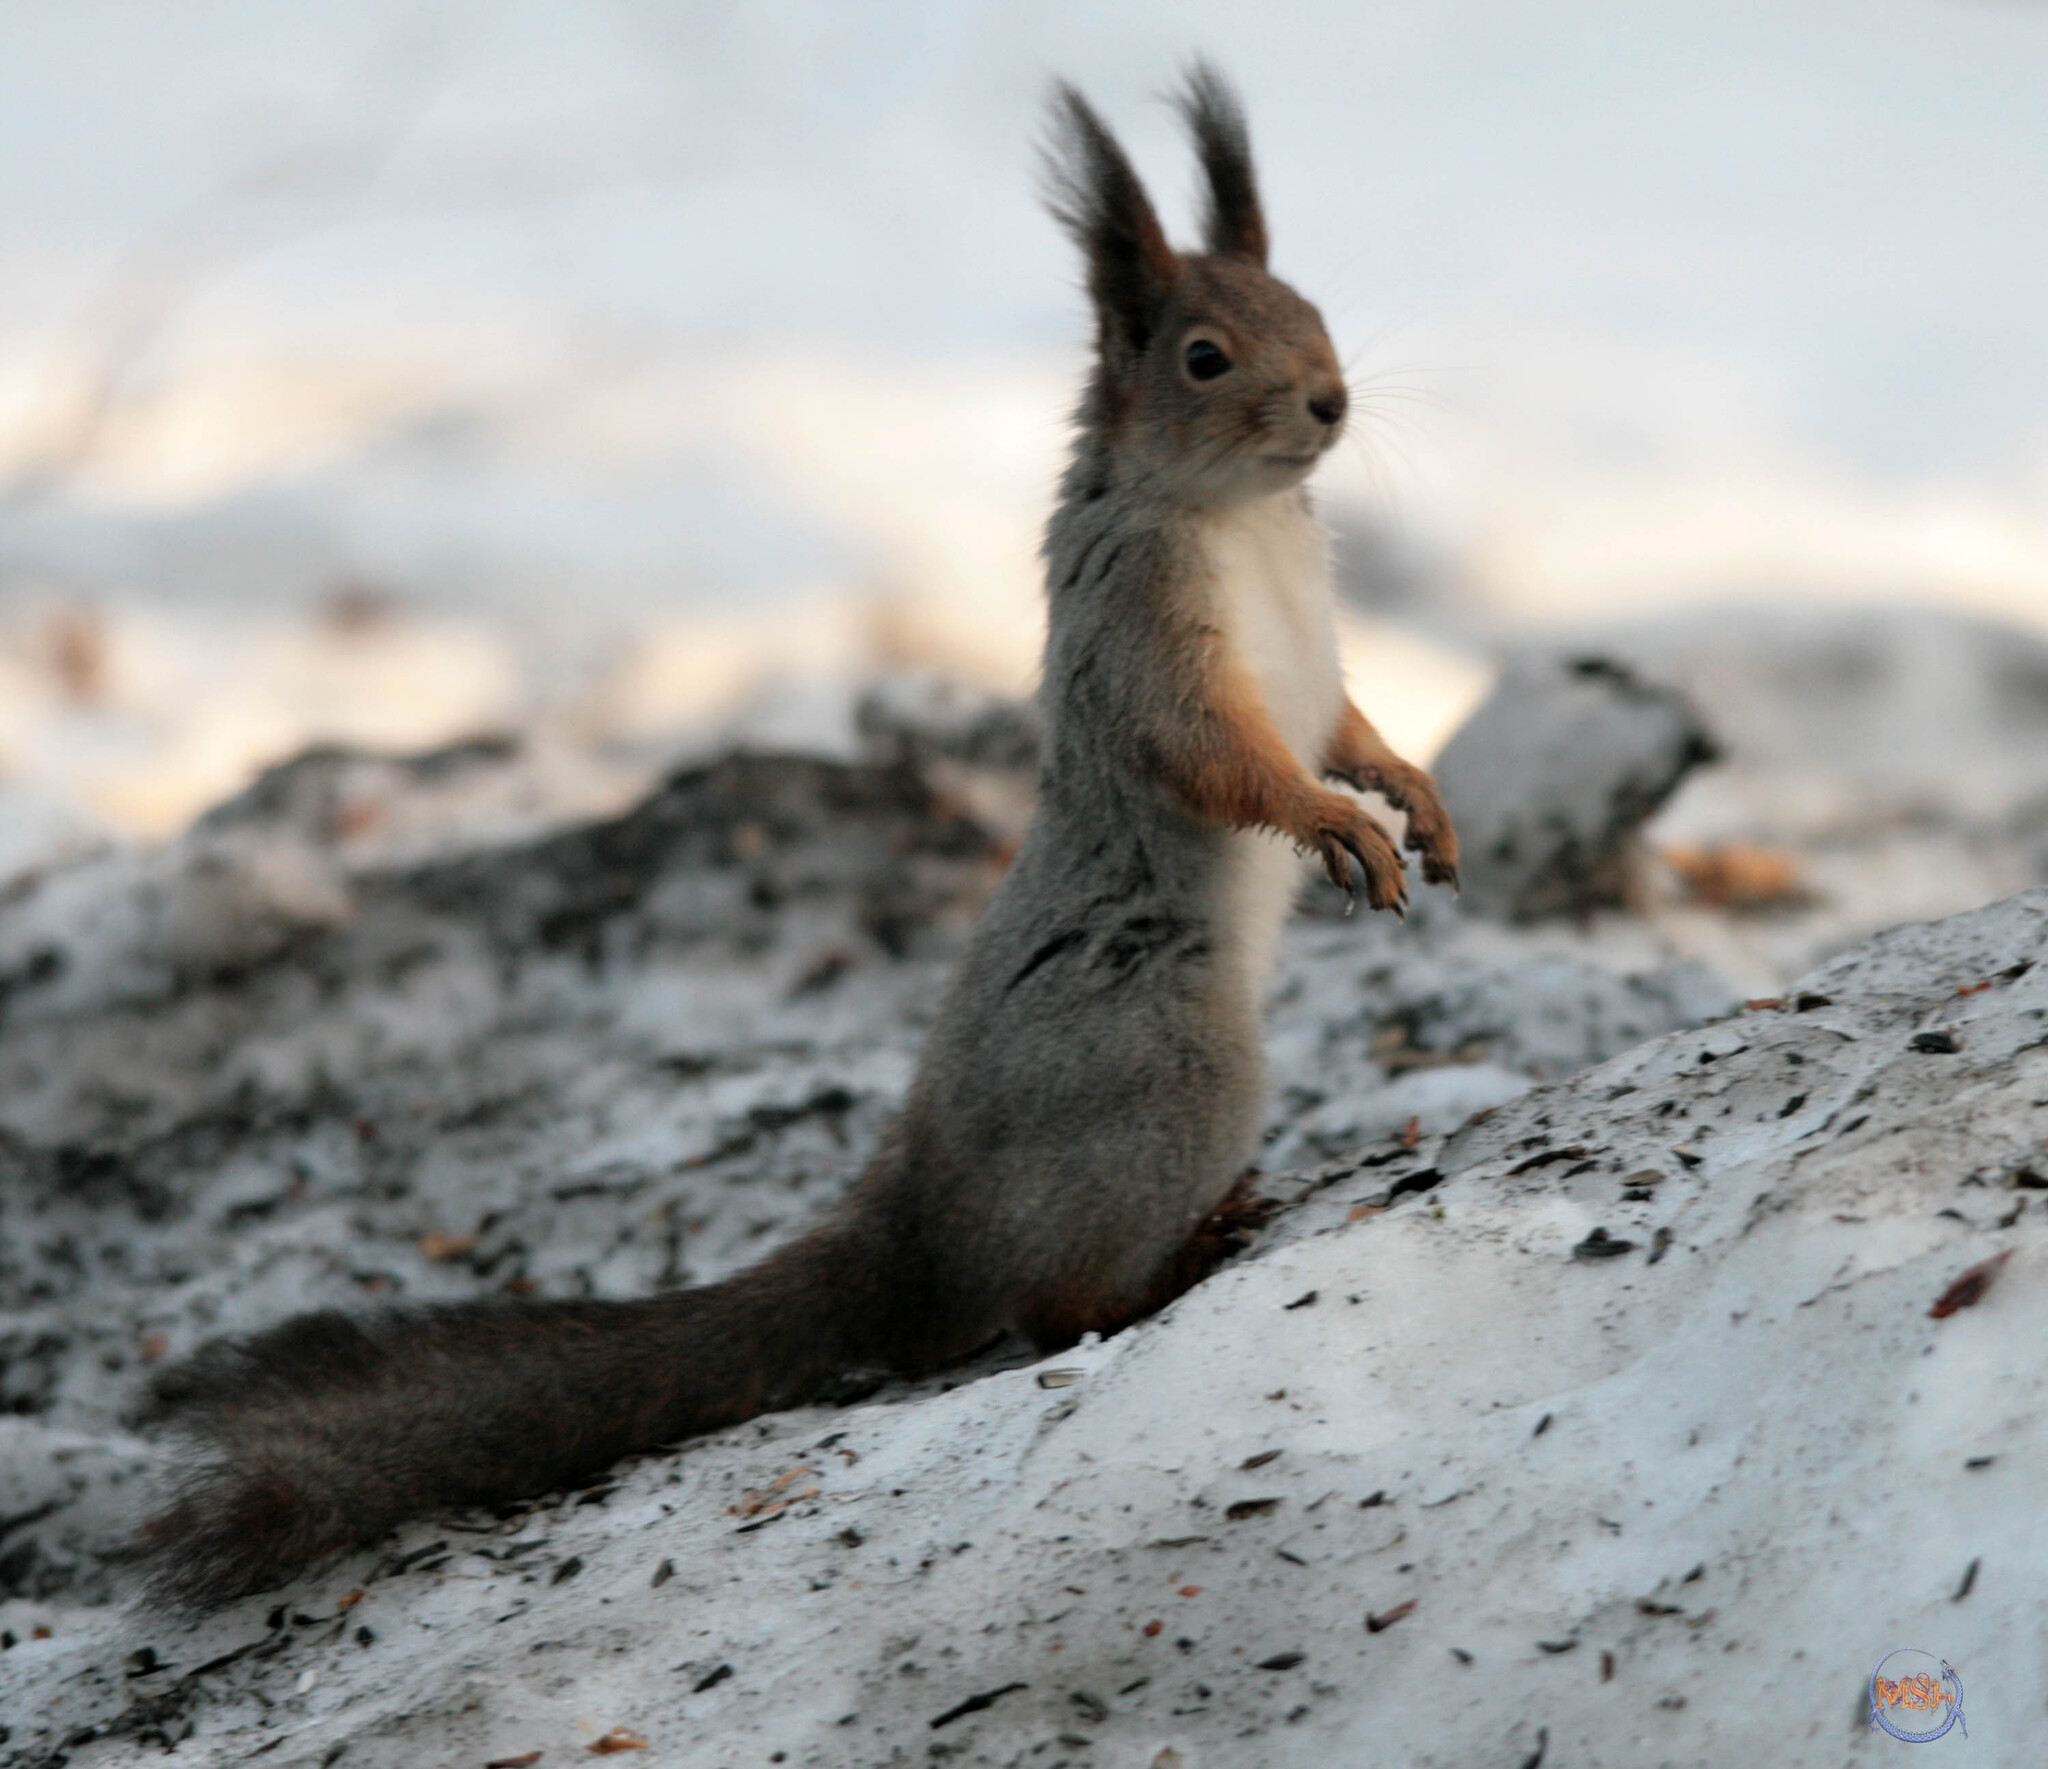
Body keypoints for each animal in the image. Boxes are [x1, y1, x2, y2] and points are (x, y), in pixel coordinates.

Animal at [132, 65, 1458, 1613]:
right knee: (1048, 1304)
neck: (1242, 520)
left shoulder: (1303, 654)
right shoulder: (1142, 635)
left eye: (1308, 306)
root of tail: (918, 1225)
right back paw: (1179, 1256)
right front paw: (1330, 823)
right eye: (1202, 355)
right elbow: (1225, 756)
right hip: (1171, 1068)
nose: (1329, 400)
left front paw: (1414, 797)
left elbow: (1347, 724)